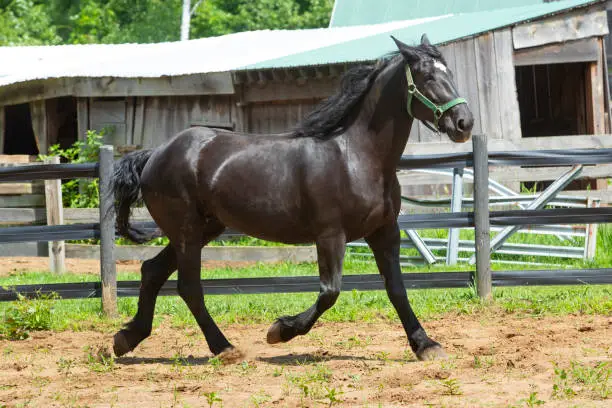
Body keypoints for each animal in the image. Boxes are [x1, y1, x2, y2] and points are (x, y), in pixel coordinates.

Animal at [112, 34, 476, 360]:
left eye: (450, 73)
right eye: (427, 76)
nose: (464, 122)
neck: (357, 156)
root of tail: (155, 153)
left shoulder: (384, 231)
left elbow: (397, 288)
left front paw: (426, 345)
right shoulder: (330, 235)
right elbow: (330, 292)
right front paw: (280, 331)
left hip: (201, 229)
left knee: (152, 271)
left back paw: (126, 339)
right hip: (187, 231)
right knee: (188, 287)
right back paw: (223, 348)